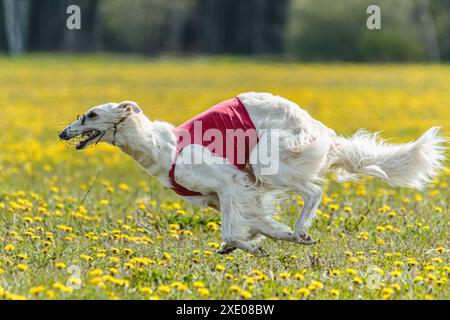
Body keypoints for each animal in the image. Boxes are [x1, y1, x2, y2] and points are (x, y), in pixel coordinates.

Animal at [59, 92, 446, 258]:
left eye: (91, 114)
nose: (62, 133)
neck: (161, 147)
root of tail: (320, 128)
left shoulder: (230, 183)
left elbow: (231, 232)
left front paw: (252, 246)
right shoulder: (223, 197)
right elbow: (258, 224)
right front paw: (268, 238)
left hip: (266, 158)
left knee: (315, 190)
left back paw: (302, 229)